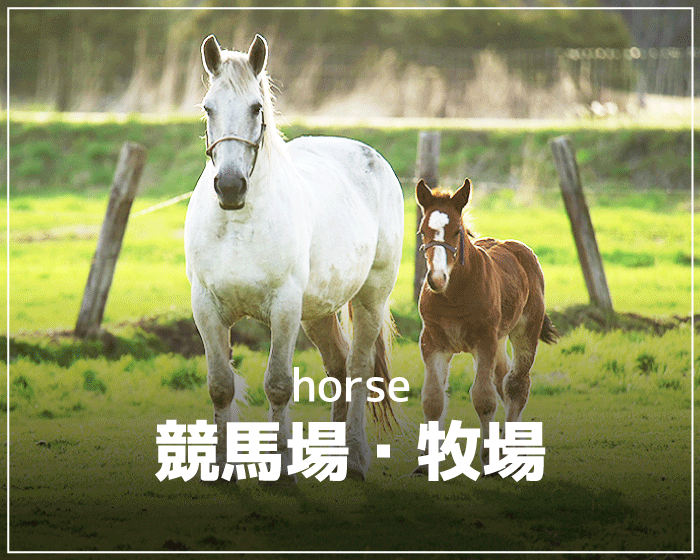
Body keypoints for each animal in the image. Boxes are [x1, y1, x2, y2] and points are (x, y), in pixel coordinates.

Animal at [184, 34, 404, 483]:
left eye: (256, 108)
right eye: (208, 107)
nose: (230, 186)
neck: (239, 223)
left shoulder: (284, 308)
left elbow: (279, 385)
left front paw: (281, 464)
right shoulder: (206, 307)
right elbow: (221, 385)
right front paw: (221, 465)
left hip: (369, 299)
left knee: (358, 369)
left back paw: (356, 456)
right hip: (318, 312)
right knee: (338, 368)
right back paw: (334, 455)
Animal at [413, 178, 558, 475]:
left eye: (456, 231)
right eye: (423, 232)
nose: (436, 278)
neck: (453, 295)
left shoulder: (484, 341)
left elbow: (483, 398)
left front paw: (489, 458)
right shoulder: (432, 342)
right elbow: (433, 399)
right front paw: (426, 463)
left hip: (524, 330)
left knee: (516, 384)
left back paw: (511, 453)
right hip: (499, 340)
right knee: (503, 380)